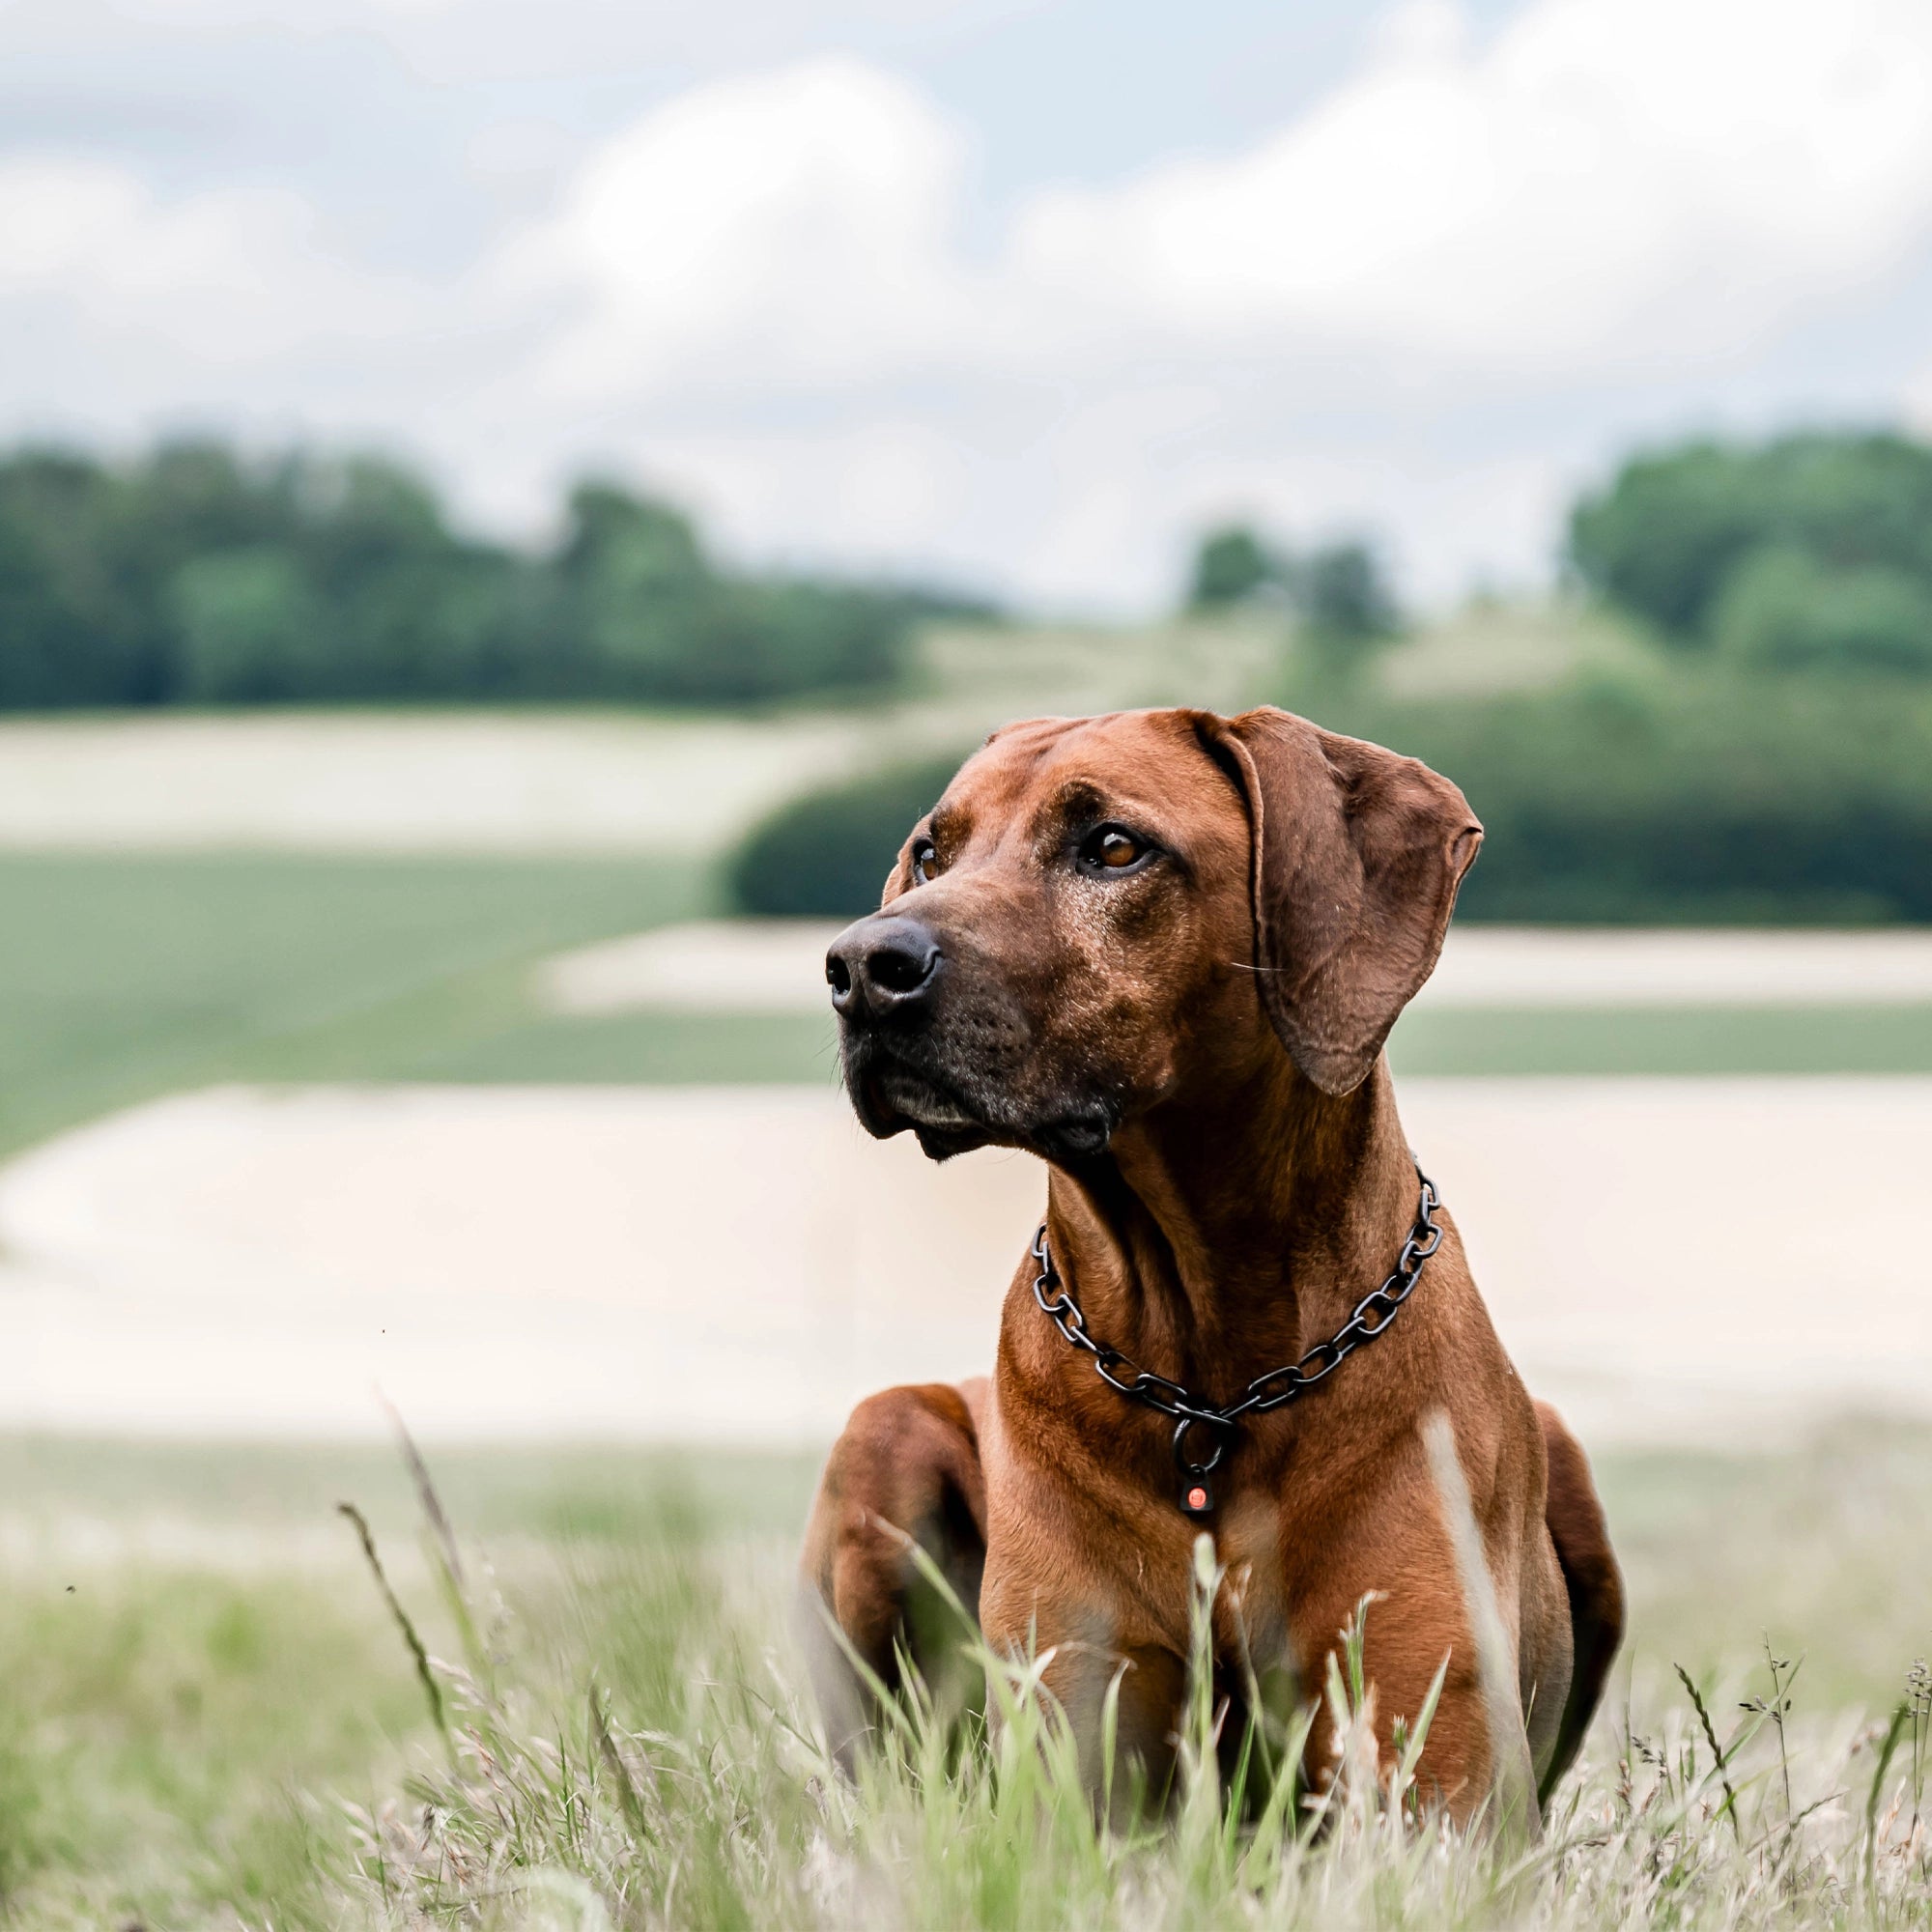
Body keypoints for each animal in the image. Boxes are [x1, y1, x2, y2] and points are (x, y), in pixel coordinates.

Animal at [792, 703, 1623, 1816]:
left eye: (1111, 847)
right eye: (931, 850)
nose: (858, 968)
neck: (1208, 1382)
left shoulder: (1439, 1777)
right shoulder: (1077, 1726)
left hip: (1565, 1459)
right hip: (882, 1432)